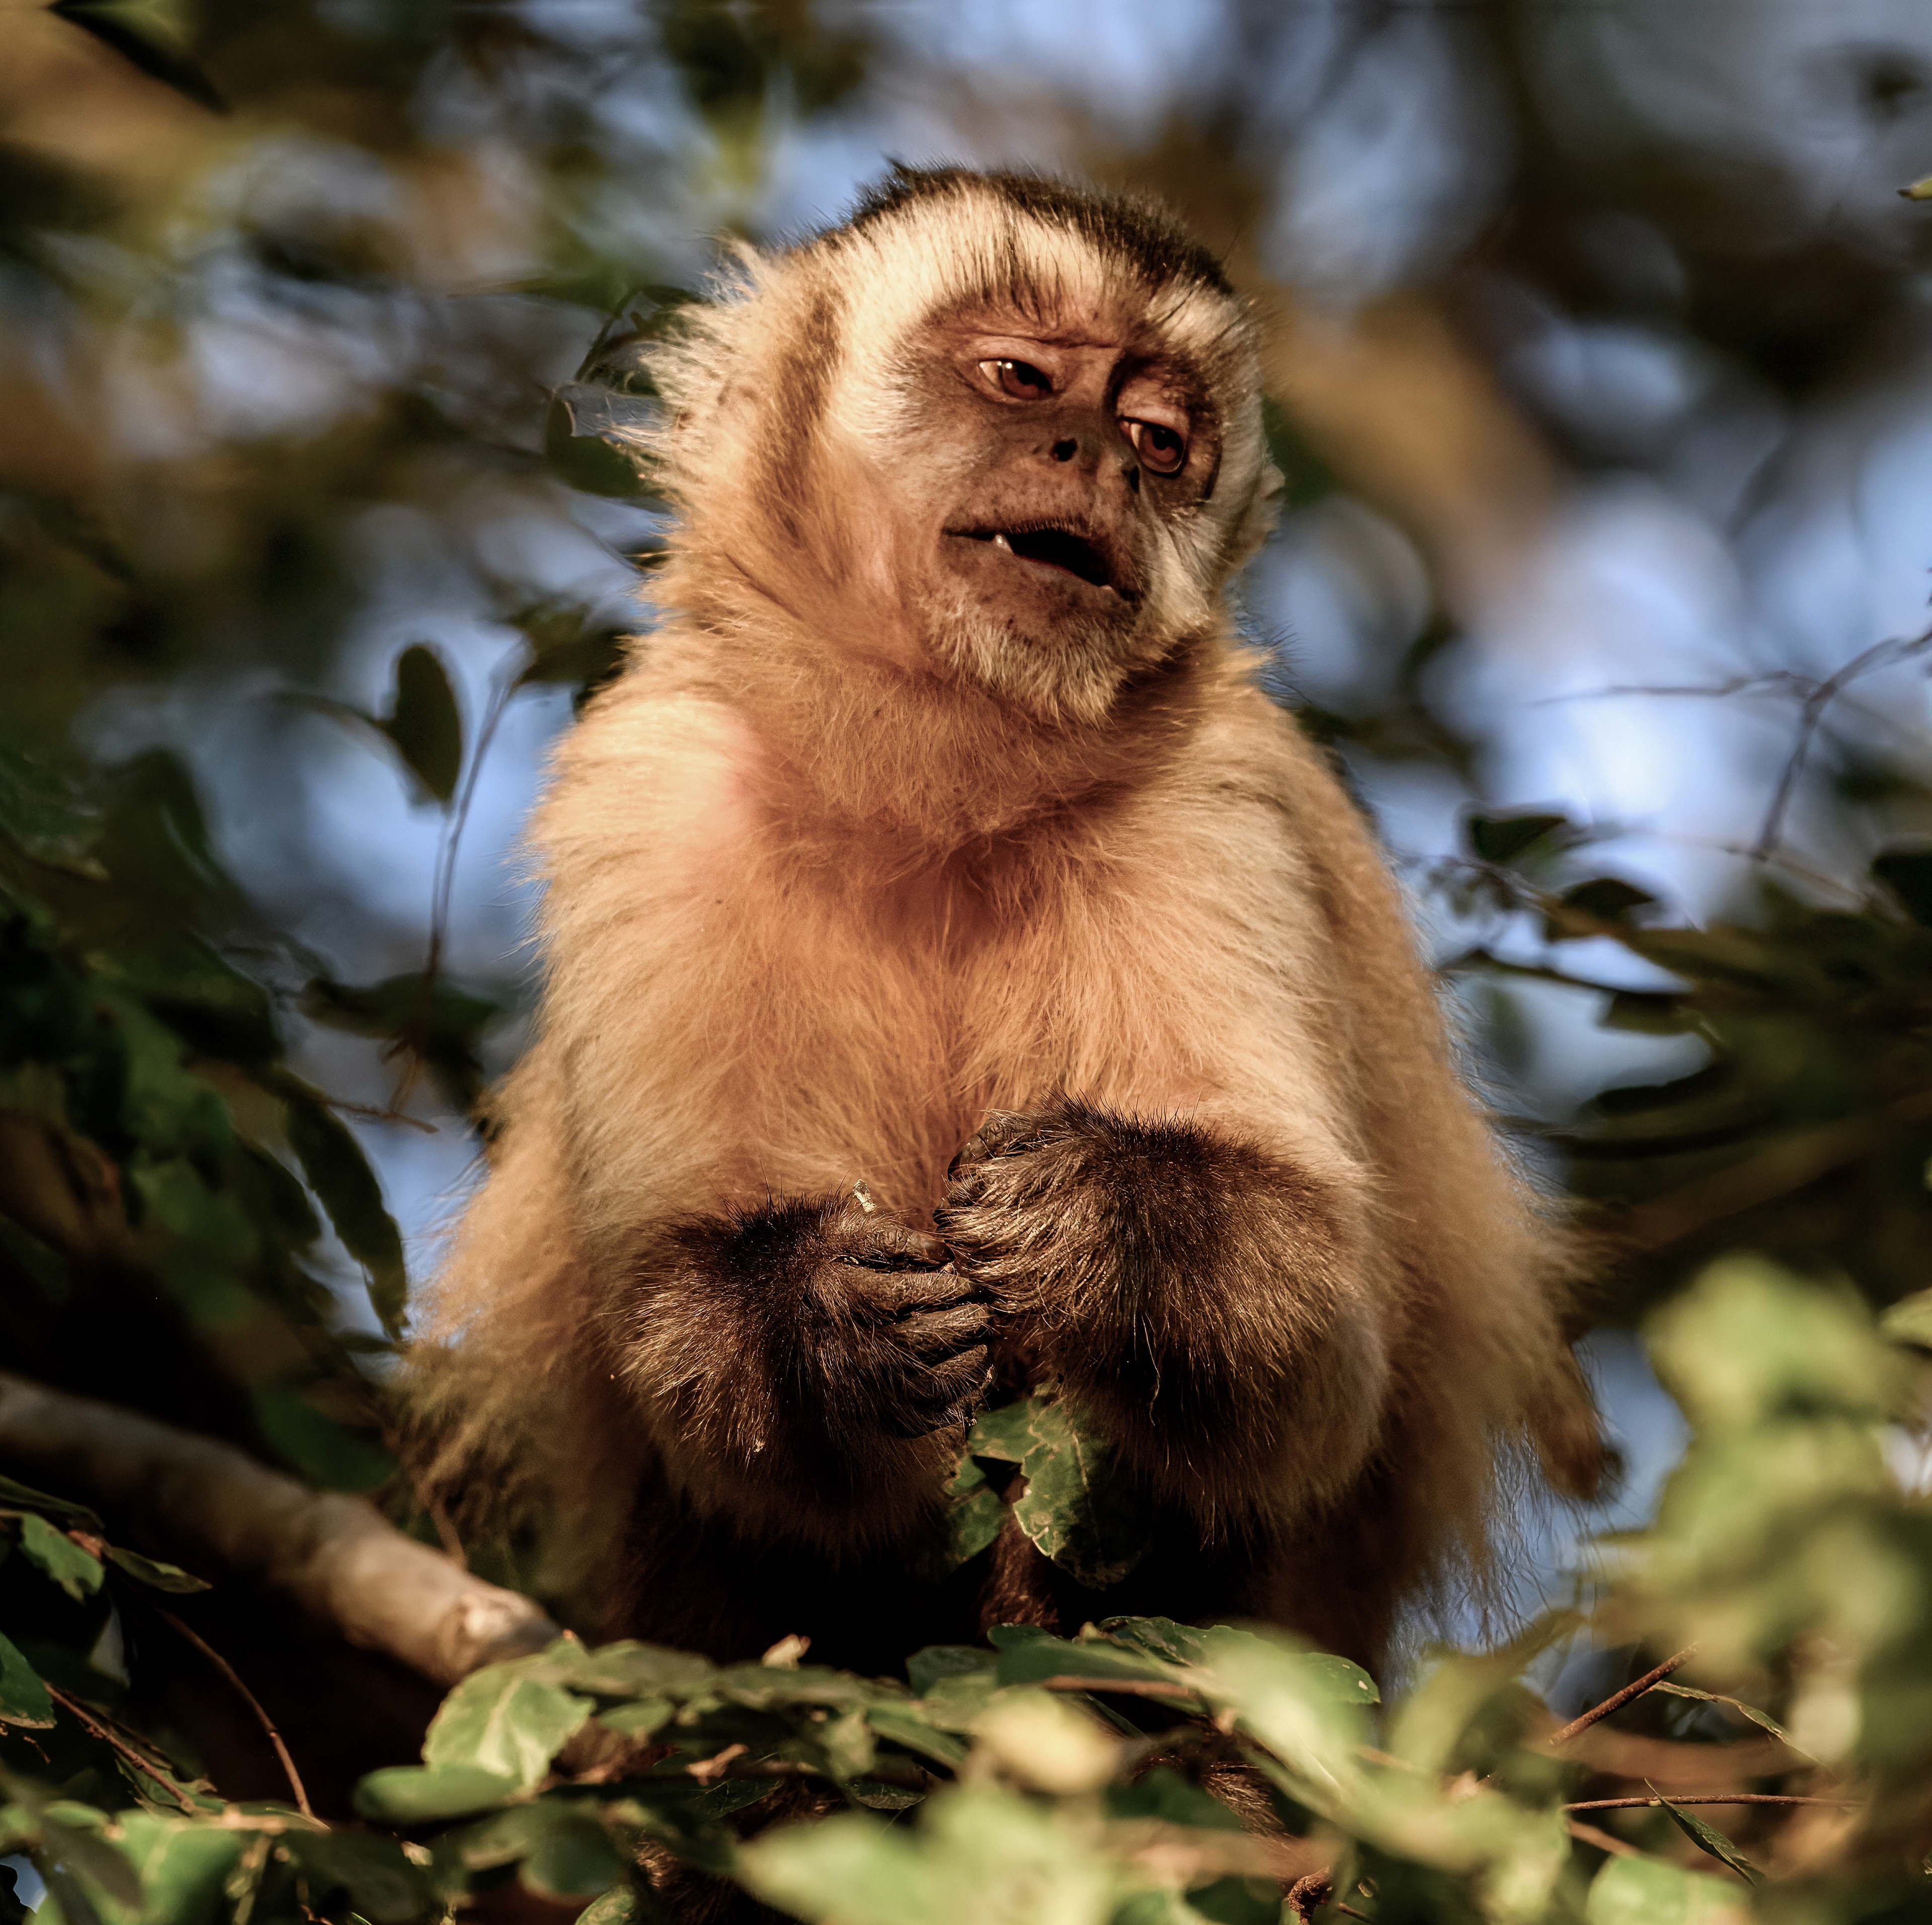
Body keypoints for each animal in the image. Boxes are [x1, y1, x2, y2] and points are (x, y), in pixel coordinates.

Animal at [414, 165, 1601, 1689]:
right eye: (1020, 378)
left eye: (1161, 440)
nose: (1094, 454)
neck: (936, 783)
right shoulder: (651, 782)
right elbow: (685, 1336)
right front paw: (821, 1321)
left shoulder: (1209, 790)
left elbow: (1319, 1359)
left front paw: (1099, 1220)